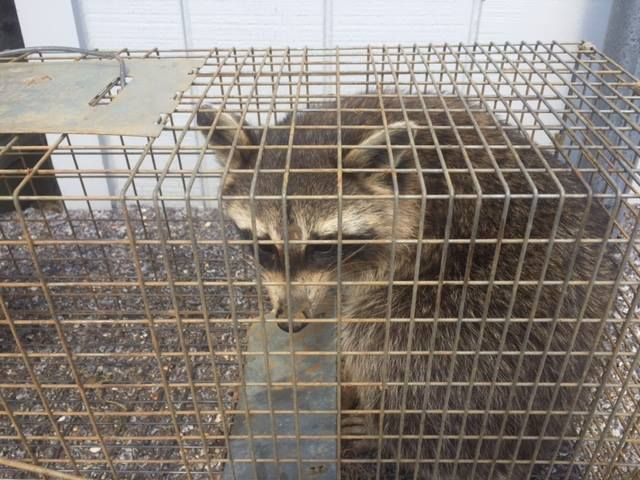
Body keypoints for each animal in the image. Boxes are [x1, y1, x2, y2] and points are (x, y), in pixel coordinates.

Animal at [197, 93, 617, 479]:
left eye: (321, 246)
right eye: (264, 245)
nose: (291, 322)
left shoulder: (419, 232)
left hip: (488, 325)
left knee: (380, 338)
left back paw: (383, 430)